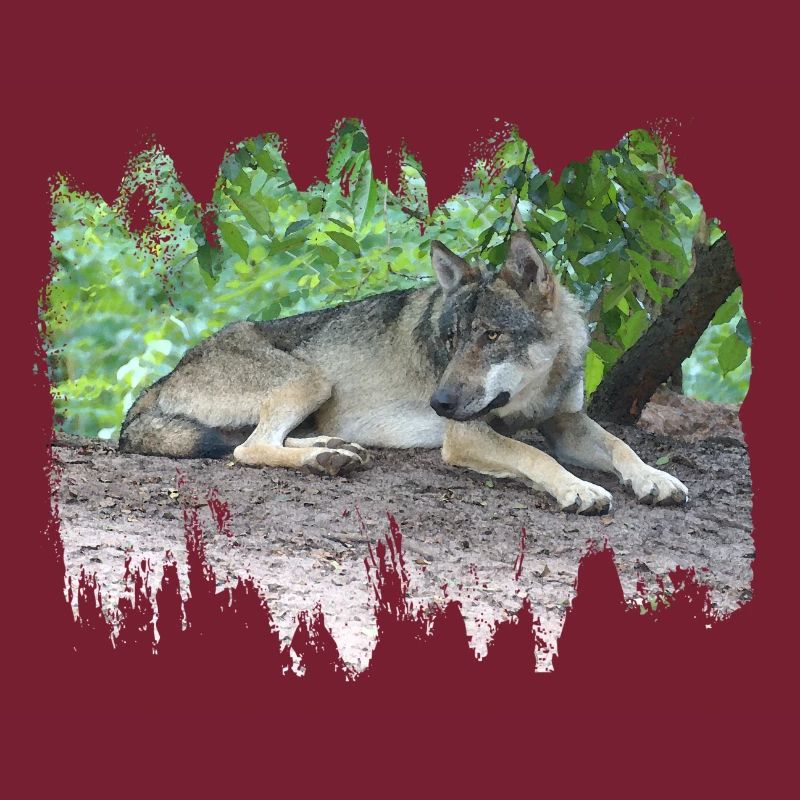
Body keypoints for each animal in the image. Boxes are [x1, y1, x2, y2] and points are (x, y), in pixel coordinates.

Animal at [119, 231, 688, 514]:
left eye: (491, 337)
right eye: (451, 340)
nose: (439, 403)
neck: (536, 386)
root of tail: (164, 377)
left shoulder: (565, 422)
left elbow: (621, 446)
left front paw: (654, 478)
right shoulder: (466, 436)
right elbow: (533, 455)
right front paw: (578, 489)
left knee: (262, 441)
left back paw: (334, 449)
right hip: (312, 380)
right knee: (247, 449)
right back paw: (324, 460)